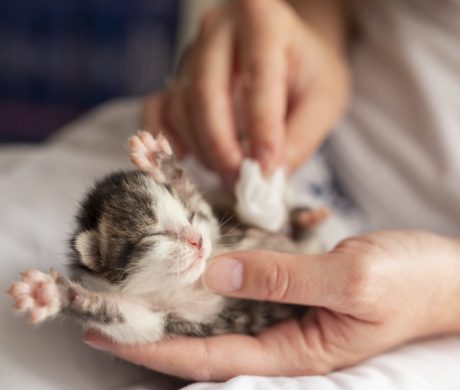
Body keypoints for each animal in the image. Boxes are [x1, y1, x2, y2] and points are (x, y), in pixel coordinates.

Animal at [9, 132, 328, 344]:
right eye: (156, 234)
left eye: (189, 217)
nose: (197, 241)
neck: (180, 285)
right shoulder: (153, 320)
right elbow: (122, 315)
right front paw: (51, 293)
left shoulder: (213, 229)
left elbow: (204, 209)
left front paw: (161, 162)